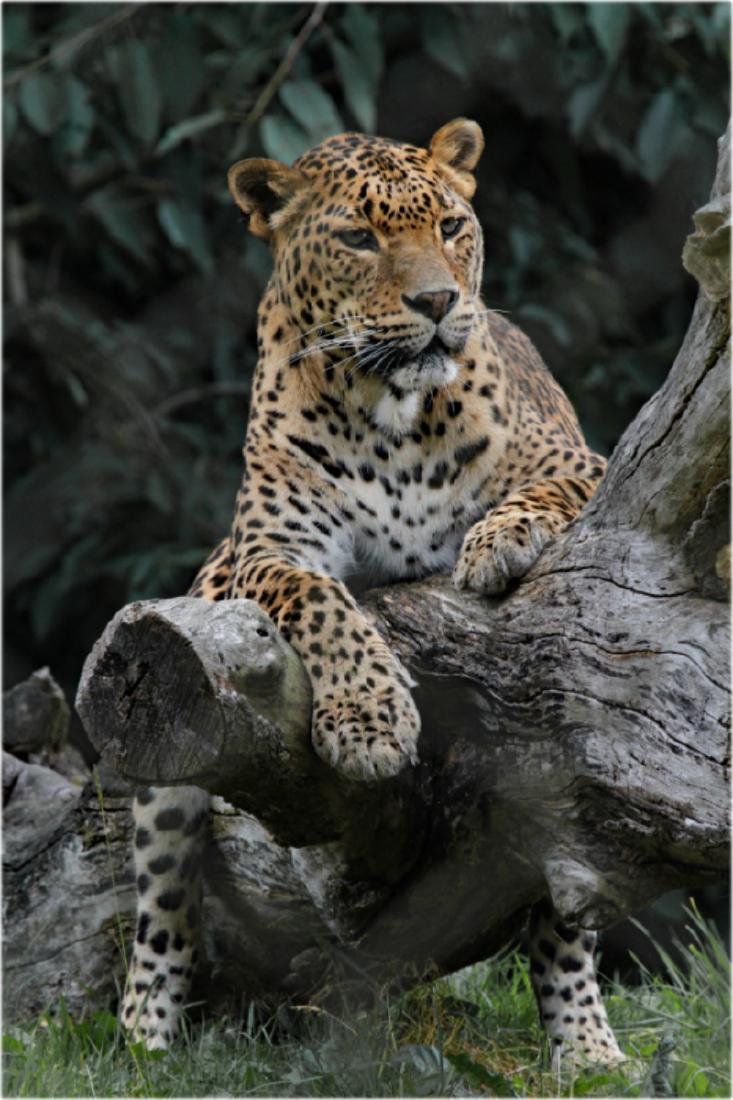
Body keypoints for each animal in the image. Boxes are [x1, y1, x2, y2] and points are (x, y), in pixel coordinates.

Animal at [121, 118, 624, 1069]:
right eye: (358, 239)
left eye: (451, 227)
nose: (435, 303)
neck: (393, 415)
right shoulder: (268, 551)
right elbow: (321, 602)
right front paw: (369, 720)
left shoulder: (582, 463)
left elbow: (535, 495)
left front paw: (496, 543)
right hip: (163, 766)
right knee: (161, 914)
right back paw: (142, 1044)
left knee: (563, 913)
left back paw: (587, 1049)